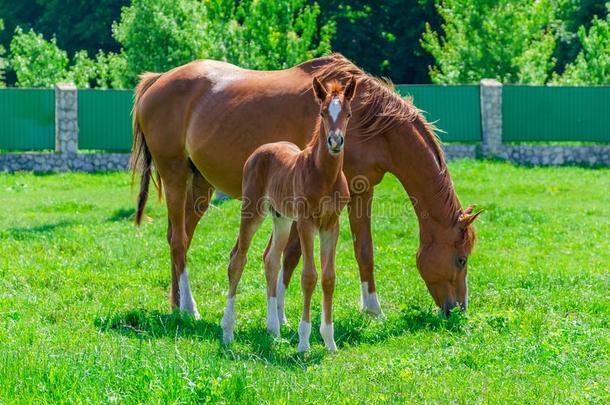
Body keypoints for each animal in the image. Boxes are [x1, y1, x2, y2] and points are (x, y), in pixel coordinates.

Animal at [131, 52, 478, 318]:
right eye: (460, 259)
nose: (458, 309)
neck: (369, 121)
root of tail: (156, 81)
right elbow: (292, 254)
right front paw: (282, 316)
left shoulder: (361, 192)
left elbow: (363, 250)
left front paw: (373, 311)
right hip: (175, 175)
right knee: (179, 240)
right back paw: (190, 308)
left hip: (201, 185)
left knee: (180, 237)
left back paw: (177, 305)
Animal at [218, 76, 354, 350]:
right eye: (323, 113)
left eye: (348, 113)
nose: (335, 142)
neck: (324, 175)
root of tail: (261, 150)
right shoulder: (306, 224)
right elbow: (309, 276)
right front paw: (304, 342)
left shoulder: (331, 225)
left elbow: (329, 278)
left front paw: (330, 341)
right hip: (252, 210)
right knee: (237, 258)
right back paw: (227, 332)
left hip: (281, 219)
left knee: (270, 258)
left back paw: (274, 329)